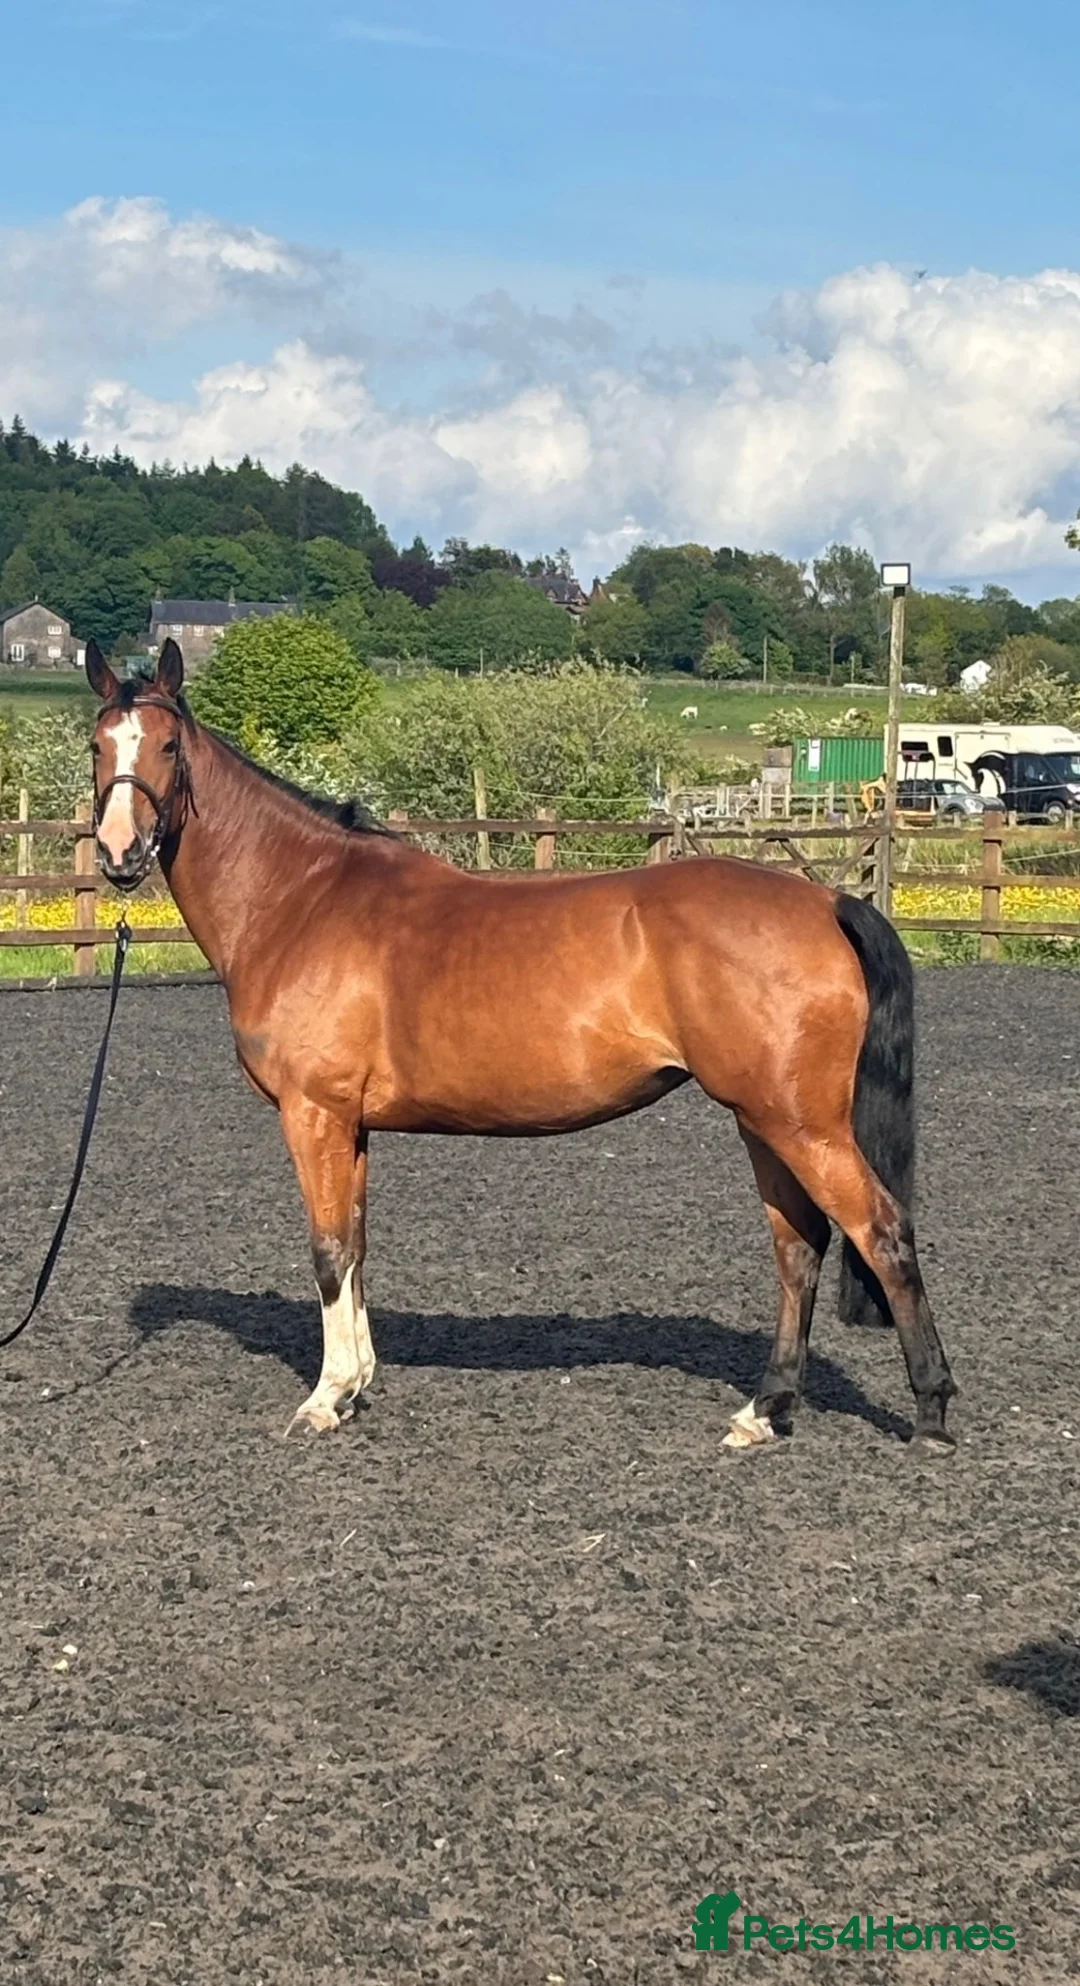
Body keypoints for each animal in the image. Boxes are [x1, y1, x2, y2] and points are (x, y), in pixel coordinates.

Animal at [86, 639, 956, 1458]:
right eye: (98, 744)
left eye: (168, 745)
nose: (120, 853)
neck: (300, 898)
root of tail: (826, 901)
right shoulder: (352, 1126)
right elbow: (358, 1245)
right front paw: (358, 1383)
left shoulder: (314, 1115)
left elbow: (329, 1250)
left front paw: (325, 1398)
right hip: (763, 1121)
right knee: (798, 1247)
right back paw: (765, 1410)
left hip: (799, 1124)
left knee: (881, 1231)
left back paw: (931, 1414)